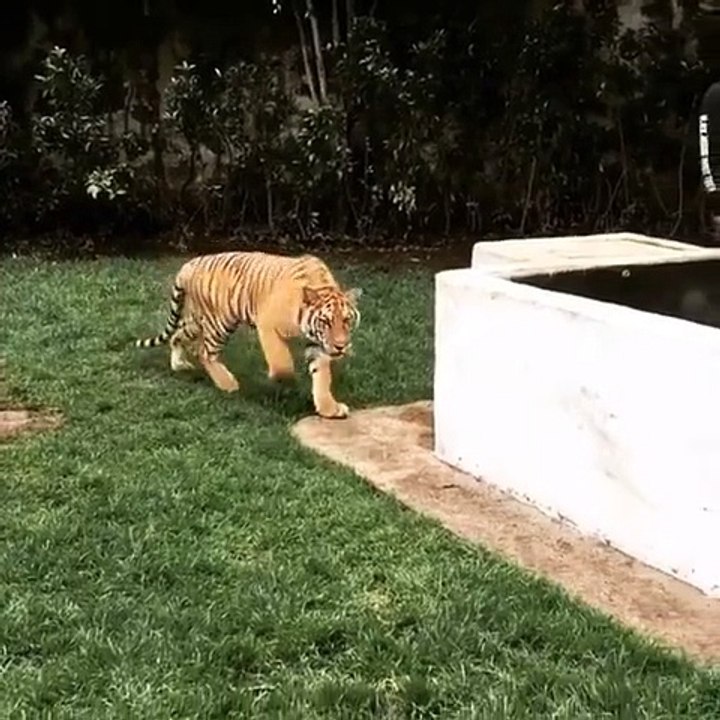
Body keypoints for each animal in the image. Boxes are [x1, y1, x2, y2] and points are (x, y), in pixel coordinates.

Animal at [134, 250, 362, 419]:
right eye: (326, 322)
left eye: (346, 321)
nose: (341, 346)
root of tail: (189, 264)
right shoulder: (268, 325)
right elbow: (282, 363)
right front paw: (286, 381)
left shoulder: (317, 343)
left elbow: (322, 376)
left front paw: (329, 409)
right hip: (220, 322)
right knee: (205, 352)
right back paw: (228, 384)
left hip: (196, 319)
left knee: (177, 336)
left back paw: (179, 364)